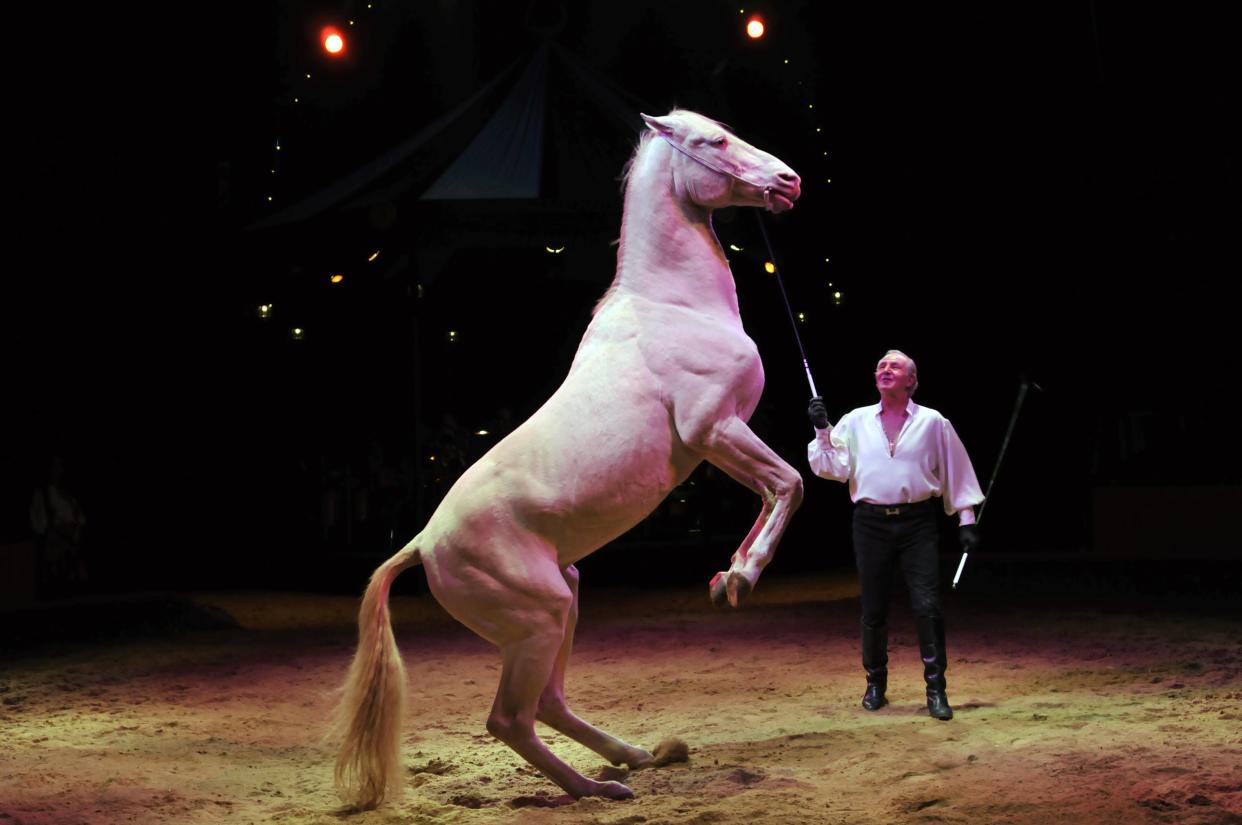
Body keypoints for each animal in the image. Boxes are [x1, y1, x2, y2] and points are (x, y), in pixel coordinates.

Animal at [332, 108, 804, 805]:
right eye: (714, 141)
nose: (788, 181)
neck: (674, 308)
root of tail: (421, 543)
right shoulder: (714, 429)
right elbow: (789, 483)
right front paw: (739, 579)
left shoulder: (723, 437)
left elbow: (776, 489)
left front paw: (727, 578)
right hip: (540, 616)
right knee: (510, 719)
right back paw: (598, 788)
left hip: (566, 595)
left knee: (548, 705)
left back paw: (635, 756)